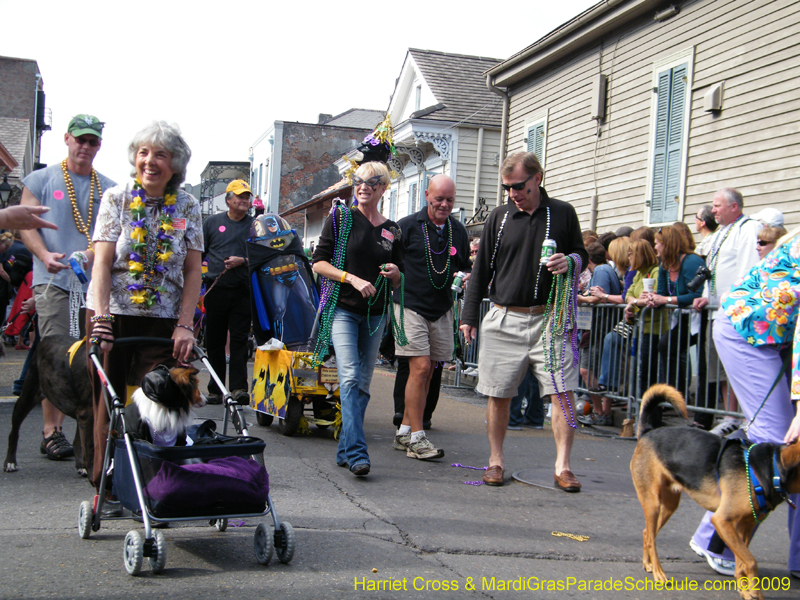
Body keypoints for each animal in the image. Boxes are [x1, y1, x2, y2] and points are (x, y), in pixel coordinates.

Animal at [632, 384, 800, 600]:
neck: (769, 470)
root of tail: (647, 431)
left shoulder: (744, 527)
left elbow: (741, 563)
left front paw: (746, 590)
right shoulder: (722, 521)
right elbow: (751, 561)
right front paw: (754, 592)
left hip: (669, 505)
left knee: (647, 533)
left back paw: (648, 564)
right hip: (652, 503)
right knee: (651, 538)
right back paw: (659, 573)